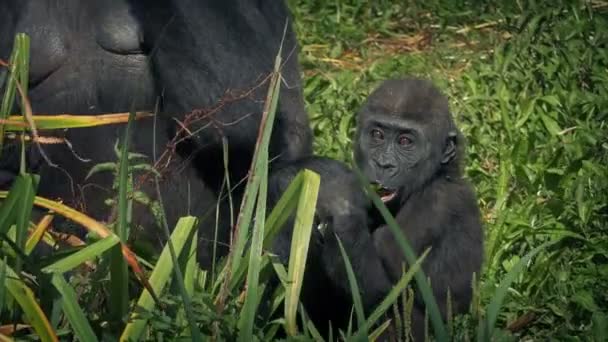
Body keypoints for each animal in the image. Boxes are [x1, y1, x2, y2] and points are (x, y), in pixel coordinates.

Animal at [354, 79, 482, 340]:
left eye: (405, 142)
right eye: (377, 135)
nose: (383, 164)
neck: (438, 175)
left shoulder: (432, 206)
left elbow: (380, 286)